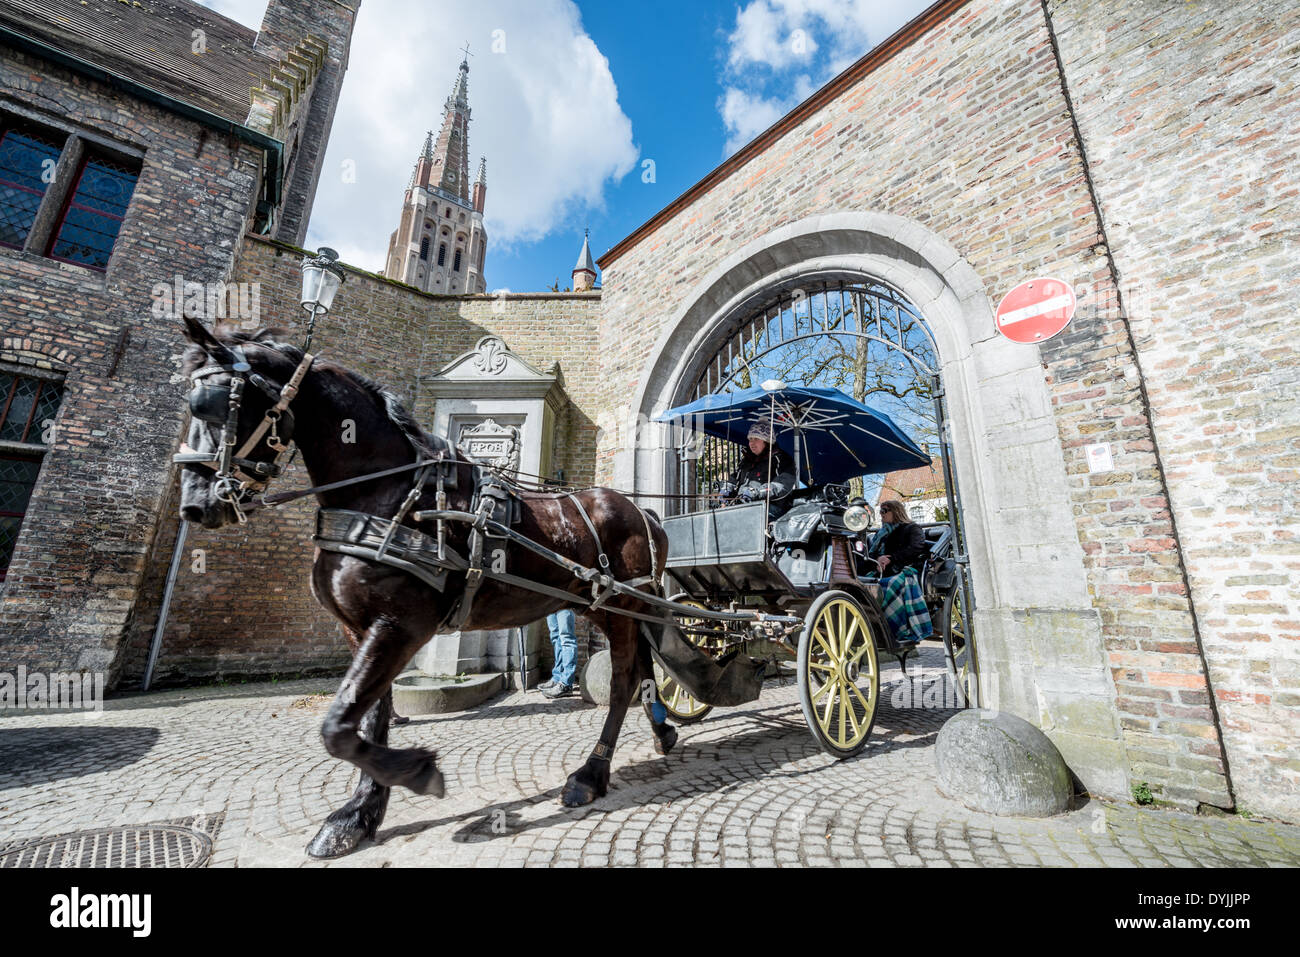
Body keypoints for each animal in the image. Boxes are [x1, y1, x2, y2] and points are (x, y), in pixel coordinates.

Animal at [176, 317, 676, 858]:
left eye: (216, 403)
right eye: (189, 406)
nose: (195, 506)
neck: (387, 493)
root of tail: (641, 510)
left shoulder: (401, 625)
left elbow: (338, 727)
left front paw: (416, 772)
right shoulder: (361, 630)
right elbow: (370, 718)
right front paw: (358, 814)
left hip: (623, 605)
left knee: (623, 680)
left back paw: (592, 772)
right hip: (606, 607)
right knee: (643, 667)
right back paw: (663, 731)